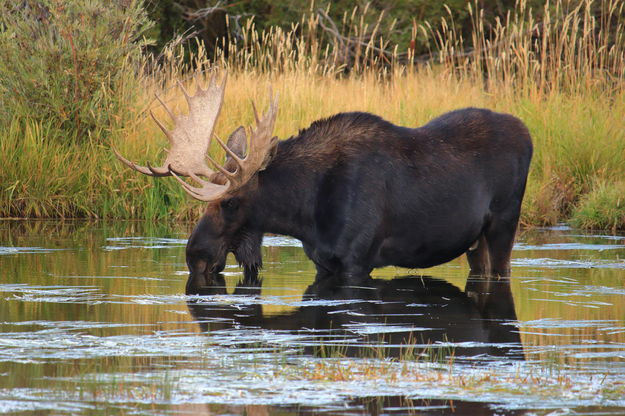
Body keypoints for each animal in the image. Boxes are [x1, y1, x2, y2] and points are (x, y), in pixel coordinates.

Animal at [113, 73, 532, 290]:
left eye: (230, 202)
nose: (194, 256)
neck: (304, 216)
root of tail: (528, 134)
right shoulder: (323, 263)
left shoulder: (356, 262)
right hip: (474, 242)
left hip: (504, 223)